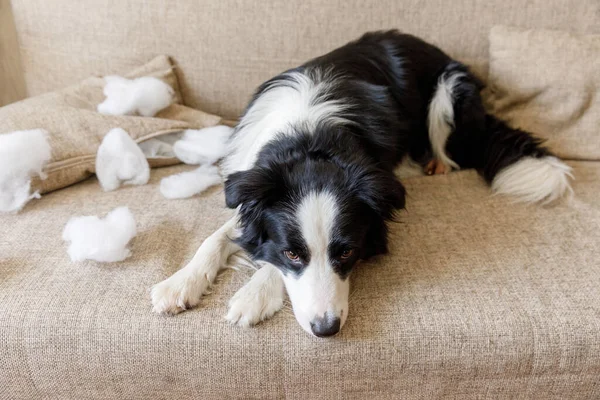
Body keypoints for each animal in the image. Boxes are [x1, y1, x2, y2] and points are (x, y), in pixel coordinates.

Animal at [151, 30, 572, 338]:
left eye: (348, 252)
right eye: (292, 253)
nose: (326, 330)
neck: (309, 141)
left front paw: (252, 296)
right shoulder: (254, 186)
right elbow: (218, 238)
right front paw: (179, 284)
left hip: (449, 89)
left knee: (450, 156)